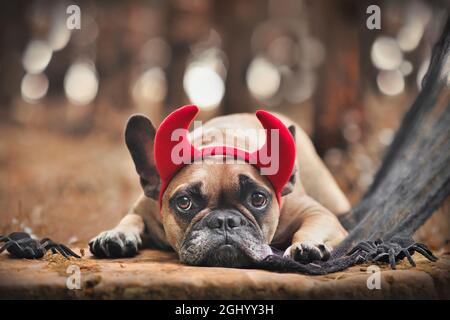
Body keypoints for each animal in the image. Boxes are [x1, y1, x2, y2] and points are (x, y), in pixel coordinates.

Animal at [88, 105, 348, 268]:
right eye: (184, 202)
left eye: (258, 199)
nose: (225, 220)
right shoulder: (144, 208)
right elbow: (132, 218)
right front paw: (117, 234)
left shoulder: (315, 212)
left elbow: (310, 227)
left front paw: (308, 246)